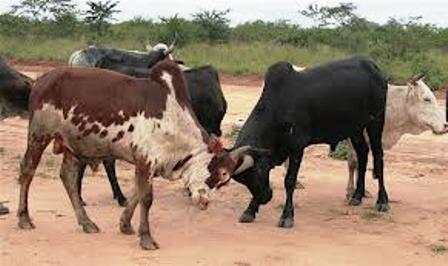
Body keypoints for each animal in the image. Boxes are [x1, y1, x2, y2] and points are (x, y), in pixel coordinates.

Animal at [15, 59, 254, 249]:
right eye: (221, 173)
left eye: (224, 182)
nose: (204, 202)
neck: (175, 121)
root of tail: (42, 80)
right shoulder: (146, 160)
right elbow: (146, 198)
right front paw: (146, 238)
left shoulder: (148, 165)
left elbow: (136, 194)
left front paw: (125, 225)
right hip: (39, 134)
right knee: (27, 171)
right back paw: (24, 219)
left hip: (74, 146)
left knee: (69, 178)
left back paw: (87, 223)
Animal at [228, 56, 388, 229]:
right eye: (243, 180)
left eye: (258, 171)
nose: (265, 197)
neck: (279, 107)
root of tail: (373, 66)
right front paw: (250, 210)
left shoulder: (297, 147)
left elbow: (289, 181)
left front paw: (287, 216)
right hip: (355, 129)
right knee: (363, 154)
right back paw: (357, 195)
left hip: (375, 123)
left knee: (378, 157)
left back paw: (382, 200)